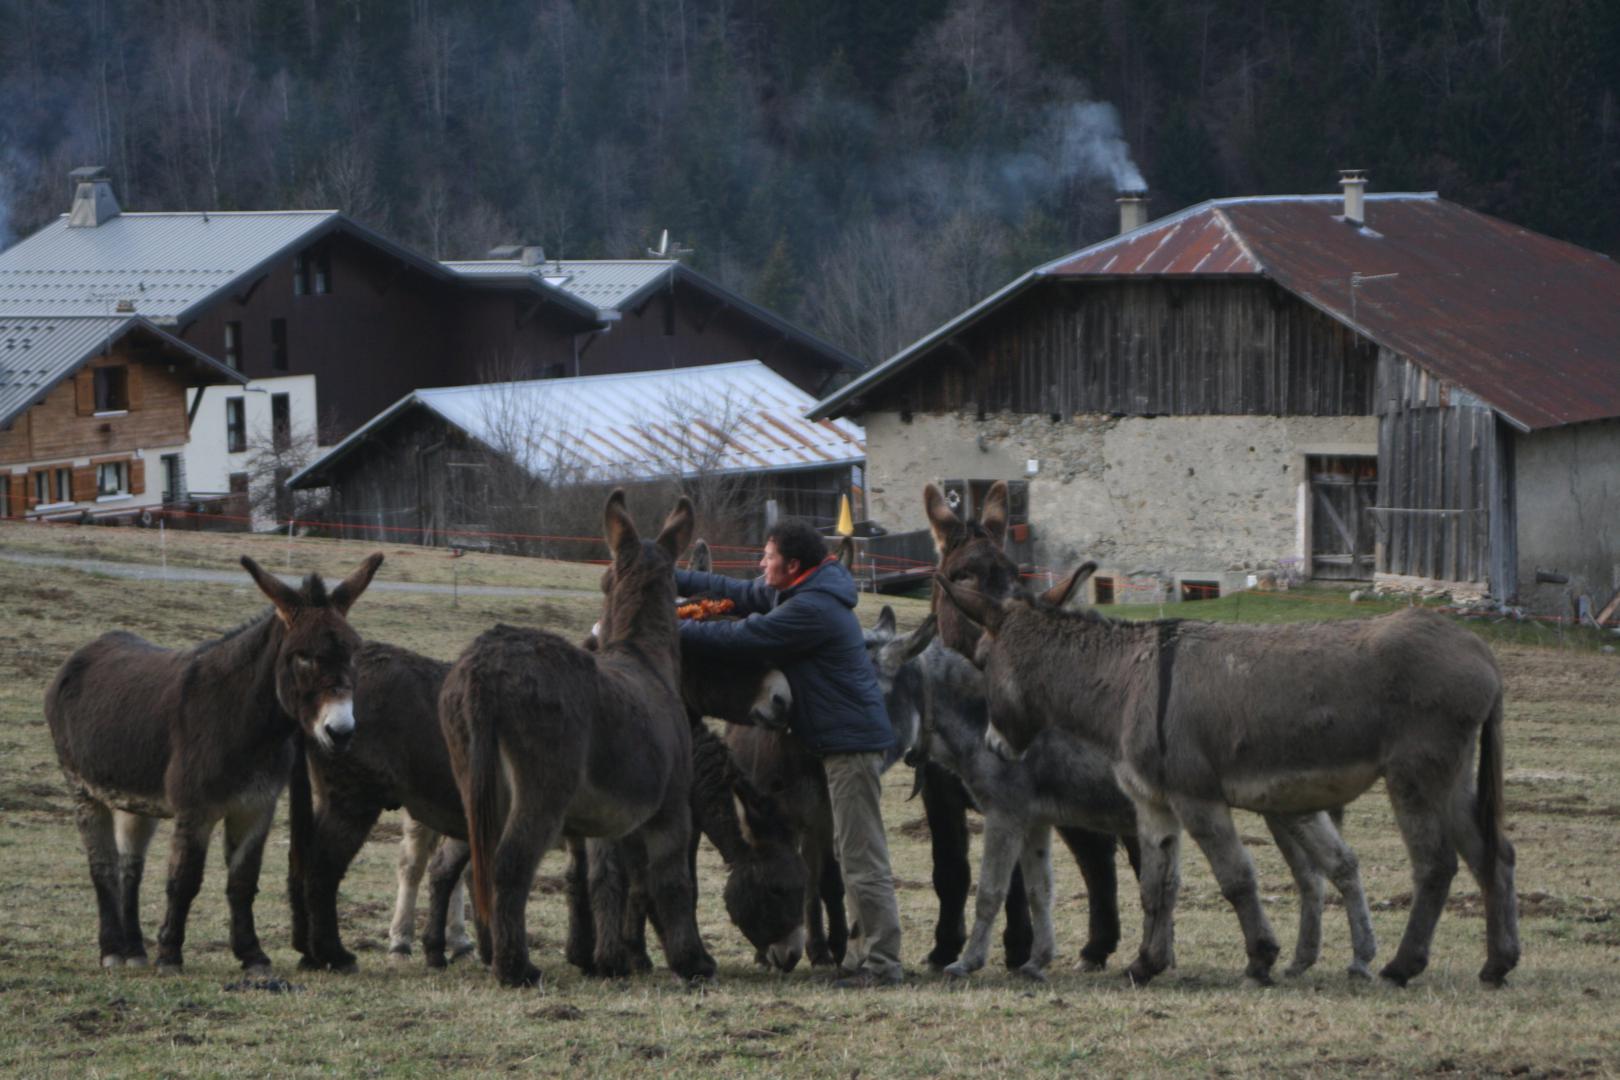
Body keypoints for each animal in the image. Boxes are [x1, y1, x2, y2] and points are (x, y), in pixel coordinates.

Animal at [45, 552, 383, 972]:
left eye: (353, 653)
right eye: (303, 657)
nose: (340, 732)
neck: (249, 727)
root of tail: (88, 649)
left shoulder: (256, 808)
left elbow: (242, 881)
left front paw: (251, 954)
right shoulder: (196, 810)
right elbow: (184, 879)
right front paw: (170, 955)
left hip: (134, 801)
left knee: (130, 868)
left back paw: (134, 950)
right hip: (83, 790)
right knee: (102, 867)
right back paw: (112, 950)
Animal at [439, 491, 713, 987]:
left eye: (603, 581)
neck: (642, 657)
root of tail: (484, 669)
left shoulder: (598, 822)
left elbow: (594, 880)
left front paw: (602, 959)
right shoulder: (670, 807)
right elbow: (671, 880)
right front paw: (692, 961)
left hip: (474, 780)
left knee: (480, 866)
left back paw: (496, 955)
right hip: (543, 788)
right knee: (509, 865)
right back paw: (516, 968)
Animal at [937, 561, 1518, 987]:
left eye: (982, 660)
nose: (993, 747)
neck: (1125, 682)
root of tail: (1481, 652)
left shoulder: (1197, 798)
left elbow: (1236, 877)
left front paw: (1261, 958)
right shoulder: (1154, 803)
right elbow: (1157, 884)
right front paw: (1145, 965)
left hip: (1415, 774)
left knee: (1436, 864)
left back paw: (1401, 966)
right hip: (1453, 775)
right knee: (1492, 855)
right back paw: (1497, 964)